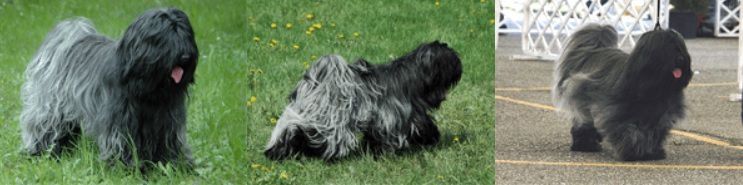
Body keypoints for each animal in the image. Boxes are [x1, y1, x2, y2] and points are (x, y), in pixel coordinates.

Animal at [20, 8, 199, 168]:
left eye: (186, 35)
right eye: (165, 38)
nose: (186, 57)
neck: (150, 90)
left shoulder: (168, 122)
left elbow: (170, 142)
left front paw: (178, 165)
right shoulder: (120, 122)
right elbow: (123, 144)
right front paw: (126, 167)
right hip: (51, 107)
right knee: (45, 127)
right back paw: (39, 152)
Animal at [262, 41, 460, 160]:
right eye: (450, 57)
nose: (459, 62)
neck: (411, 76)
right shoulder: (398, 117)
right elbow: (420, 127)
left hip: (303, 114)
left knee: (291, 129)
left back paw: (280, 151)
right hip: (332, 119)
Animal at [556, 23, 696, 161]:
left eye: (680, 47)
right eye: (666, 48)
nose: (681, 59)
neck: (654, 87)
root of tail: (592, 52)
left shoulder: (659, 117)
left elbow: (653, 134)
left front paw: (653, 152)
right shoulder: (619, 113)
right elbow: (630, 132)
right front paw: (632, 152)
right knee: (583, 123)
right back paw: (585, 146)